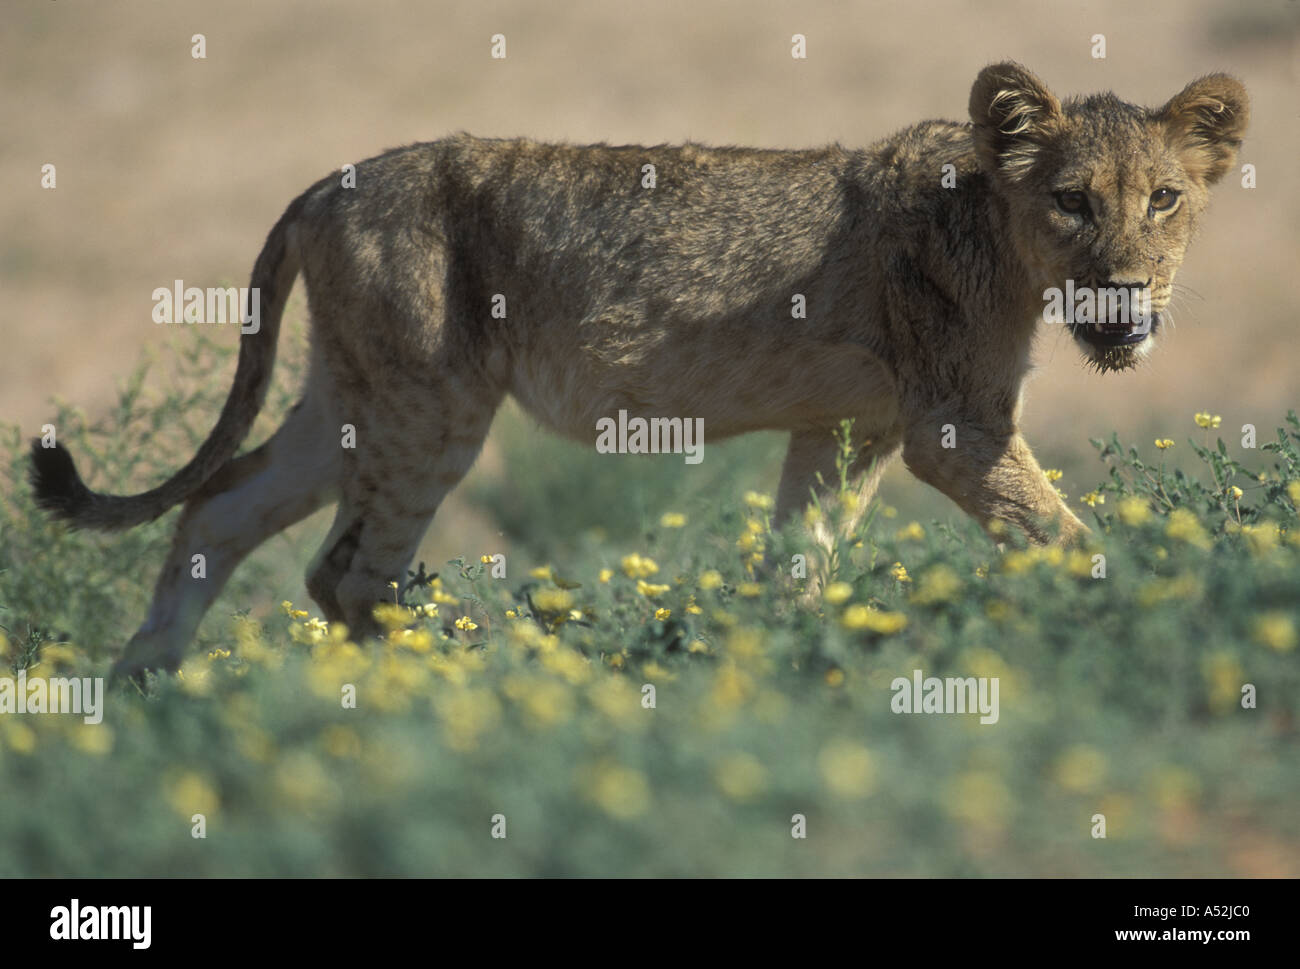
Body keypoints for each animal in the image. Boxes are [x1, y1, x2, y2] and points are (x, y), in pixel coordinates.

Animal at [30, 64, 1248, 676]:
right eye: (1072, 200)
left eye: (1163, 200)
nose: (1123, 303)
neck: (1002, 234)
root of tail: (323, 183)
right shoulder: (954, 426)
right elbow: (1068, 534)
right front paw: (1155, 598)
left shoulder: (852, 427)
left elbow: (797, 560)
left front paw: (785, 666)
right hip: (434, 401)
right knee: (343, 577)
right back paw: (469, 685)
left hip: (354, 396)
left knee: (219, 512)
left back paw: (143, 701)